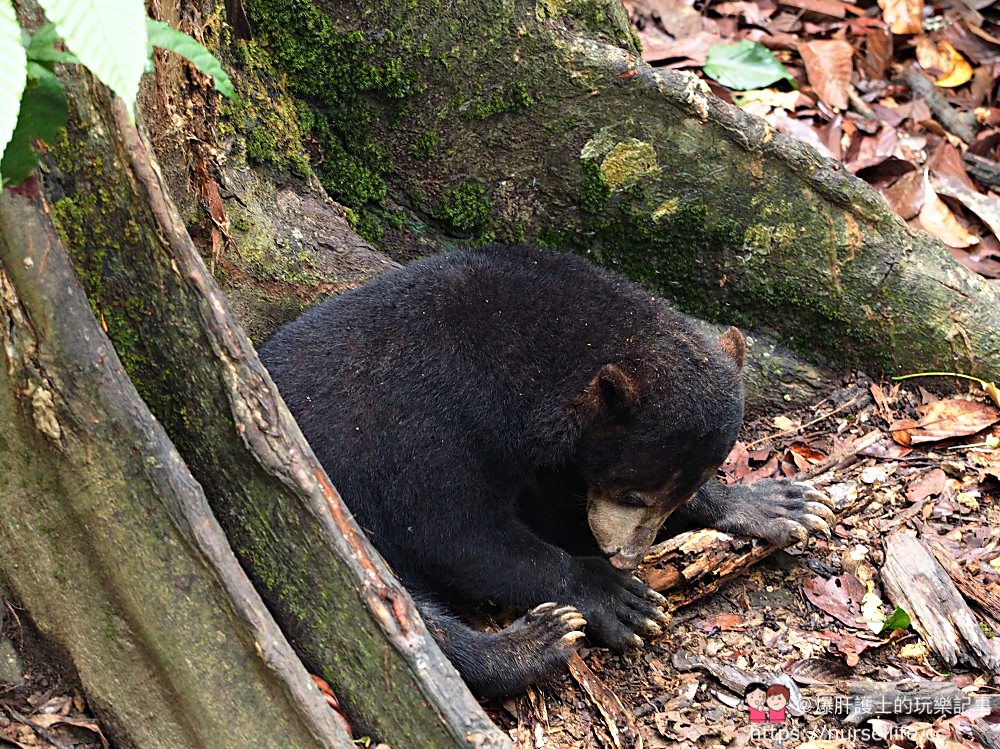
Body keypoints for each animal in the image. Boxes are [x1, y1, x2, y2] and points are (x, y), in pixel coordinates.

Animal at [260, 244, 836, 696]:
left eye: (667, 493)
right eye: (633, 495)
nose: (626, 556)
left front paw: (778, 503)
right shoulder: (429, 421)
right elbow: (453, 530)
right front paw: (615, 596)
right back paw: (531, 644)